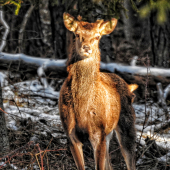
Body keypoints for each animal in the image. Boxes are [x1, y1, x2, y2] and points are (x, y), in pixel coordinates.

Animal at [58, 12, 138, 170]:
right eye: (77, 34)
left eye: (97, 36)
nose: (86, 47)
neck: (82, 107)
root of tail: (129, 86)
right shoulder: (70, 134)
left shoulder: (98, 133)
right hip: (107, 134)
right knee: (110, 165)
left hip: (126, 125)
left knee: (130, 160)